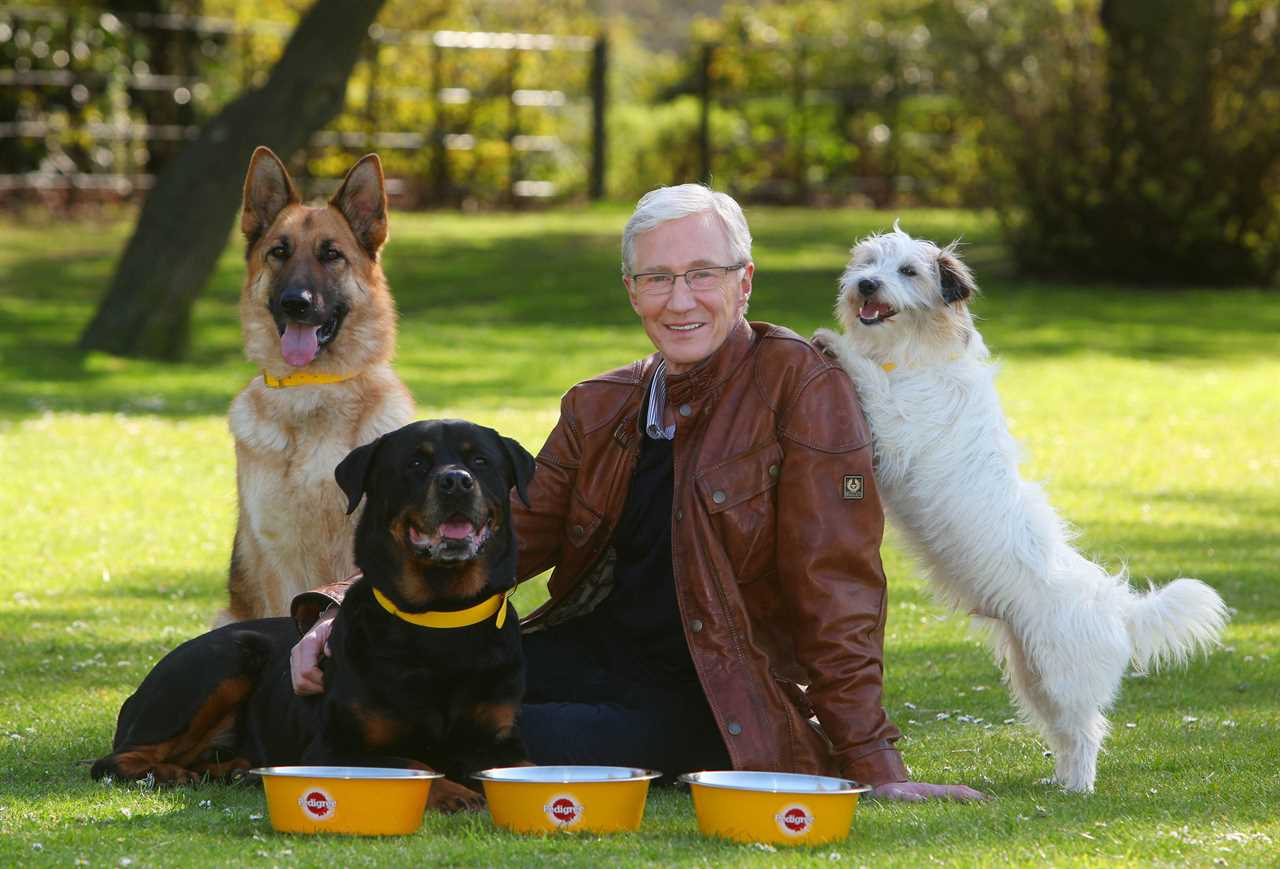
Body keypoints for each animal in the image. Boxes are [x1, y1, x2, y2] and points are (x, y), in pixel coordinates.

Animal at [92, 417, 535, 813]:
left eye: (480, 461)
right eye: (415, 463)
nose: (456, 481)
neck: (440, 617)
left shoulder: (499, 741)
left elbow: (527, 767)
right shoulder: (331, 748)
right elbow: (411, 762)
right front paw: (454, 792)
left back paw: (234, 769)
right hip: (220, 662)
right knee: (113, 761)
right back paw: (172, 773)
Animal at [819, 226, 1228, 793]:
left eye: (908, 271)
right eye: (868, 262)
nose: (865, 285)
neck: (914, 354)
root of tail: (1116, 605)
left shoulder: (897, 430)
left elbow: (869, 381)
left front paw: (830, 342)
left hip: (1061, 678)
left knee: (1087, 731)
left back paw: (1078, 787)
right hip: (1031, 674)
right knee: (1064, 732)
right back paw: (1058, 782)